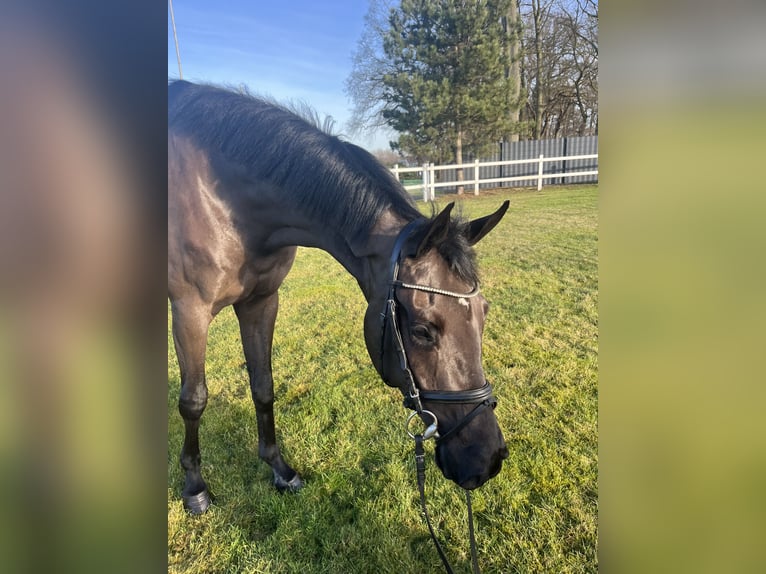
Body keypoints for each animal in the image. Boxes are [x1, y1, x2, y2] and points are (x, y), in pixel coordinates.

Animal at [171, 80, 512, 512]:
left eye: (484, 314)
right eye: (422, 331)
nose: (487, 458)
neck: (224, 200)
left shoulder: (261, 301)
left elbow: (263, 385)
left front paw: (279, 469)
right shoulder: (190, 311)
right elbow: (193, 400)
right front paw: (195, 488)